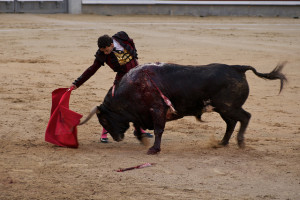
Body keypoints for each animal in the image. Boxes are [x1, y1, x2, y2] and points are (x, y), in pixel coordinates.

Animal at [79, 62, 286, 155]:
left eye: (104, 119)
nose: (117, 138)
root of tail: (237, 68)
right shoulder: (141, 113)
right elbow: (139, 127)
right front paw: (143, 140)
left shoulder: (157, 110)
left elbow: (158, 130)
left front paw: (154, 149)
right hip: (224, 109)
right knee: (232, 123)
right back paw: (222, 142)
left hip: (228, 107)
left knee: (245, 117)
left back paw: (240, 142)